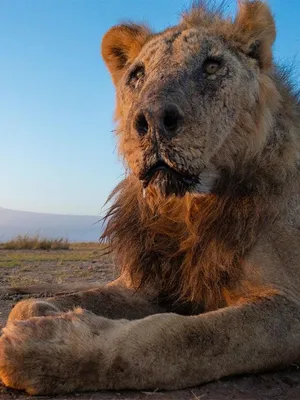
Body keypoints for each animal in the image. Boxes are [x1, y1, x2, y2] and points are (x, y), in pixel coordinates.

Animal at [0, 0, 300, 394]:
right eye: (137, 74)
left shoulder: (289, 307)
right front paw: (43, 313)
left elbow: (180, 337)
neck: (186, 208)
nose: (154, 119)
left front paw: (44, 346)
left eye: (212, 66)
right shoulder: (149, 282)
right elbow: (31, 304)